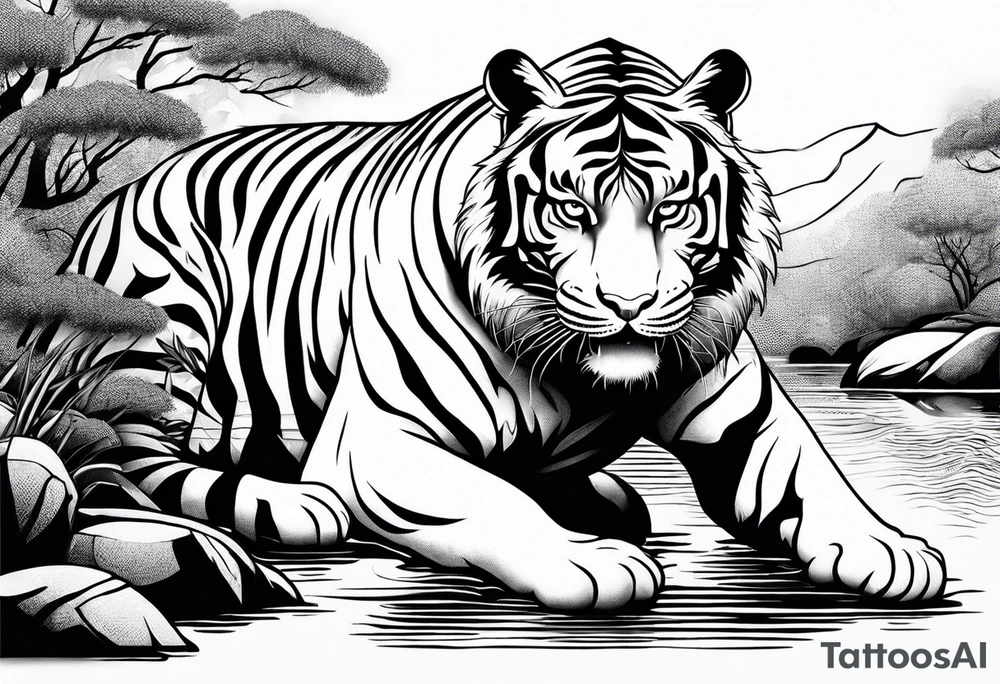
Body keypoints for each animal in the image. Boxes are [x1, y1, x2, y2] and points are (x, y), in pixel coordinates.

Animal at [55, 38, 946, 610]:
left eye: (672, 208)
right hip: (162, 328)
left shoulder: (741, 406)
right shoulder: (378, 440)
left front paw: (888, 548)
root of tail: (121, 198)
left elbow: (808, 472)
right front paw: (588, 561)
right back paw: (295, 504)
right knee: (135, 458)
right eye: (571, 208)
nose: (627, 303)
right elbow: (489, 500)